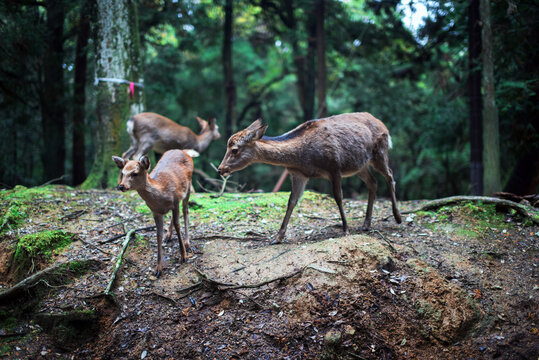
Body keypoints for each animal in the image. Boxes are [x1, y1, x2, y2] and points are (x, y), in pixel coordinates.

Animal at [112, 148, 196, 276]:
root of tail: (183, 151)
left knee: (186, 211)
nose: (121, 186)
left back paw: (187, 243)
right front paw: (158, 268)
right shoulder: (155, 211)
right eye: (123, 173)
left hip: (188, 186)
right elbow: (158, 234)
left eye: (135, 173)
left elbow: (178, 225)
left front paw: (183, 256)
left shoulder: (176, 201)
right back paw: (168, 236)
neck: (162, 192)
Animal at [218, 112, 400, 245]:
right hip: (360, 166)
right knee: (373, 182)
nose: (220, 169)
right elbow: (292, 201)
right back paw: (366, 224)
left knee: (390, 175)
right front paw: (277, 237)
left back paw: (397, 217)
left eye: (234, 149)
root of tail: (383, 124)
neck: (302, 157)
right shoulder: (299, 174)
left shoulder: (334, 167)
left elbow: (338, 197)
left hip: (380, 152)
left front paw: (345, 229)